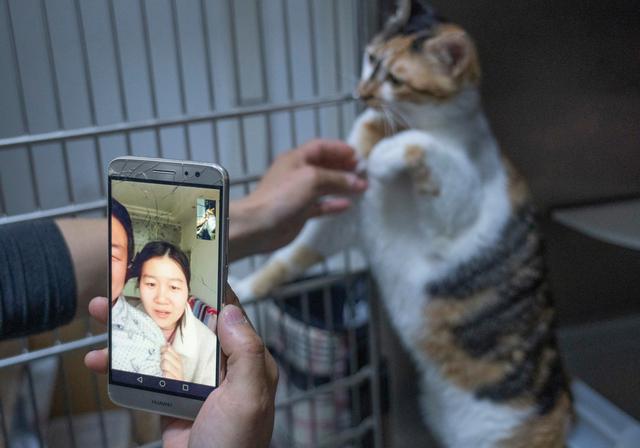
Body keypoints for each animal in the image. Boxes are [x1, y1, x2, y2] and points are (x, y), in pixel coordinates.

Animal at [234, 1, 574, 446]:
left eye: (396, 78)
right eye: (370, 58)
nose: (360, 94)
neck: (394, 121)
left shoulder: (458, 212)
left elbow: (425, 149)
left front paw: (385, 155)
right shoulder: (346, 217)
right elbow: (289, 258)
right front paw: (243, 286)